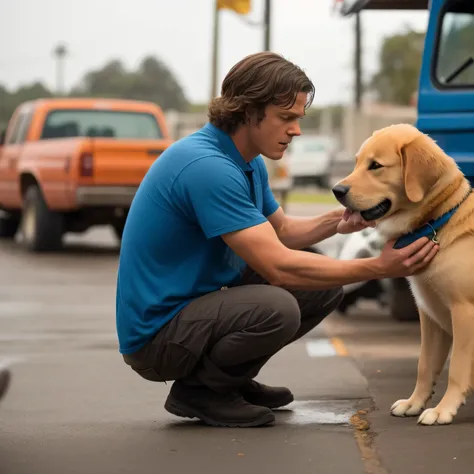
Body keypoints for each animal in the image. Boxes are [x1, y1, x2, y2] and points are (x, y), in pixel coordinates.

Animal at [334, 123, 474, 426]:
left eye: (375, 166)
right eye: (357, 162)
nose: (336, 190)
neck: (439, 221)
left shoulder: (465, 311)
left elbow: (457, 367)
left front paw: (444, 409)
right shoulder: (429, 313)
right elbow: (425, 365)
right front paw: (414, 403)